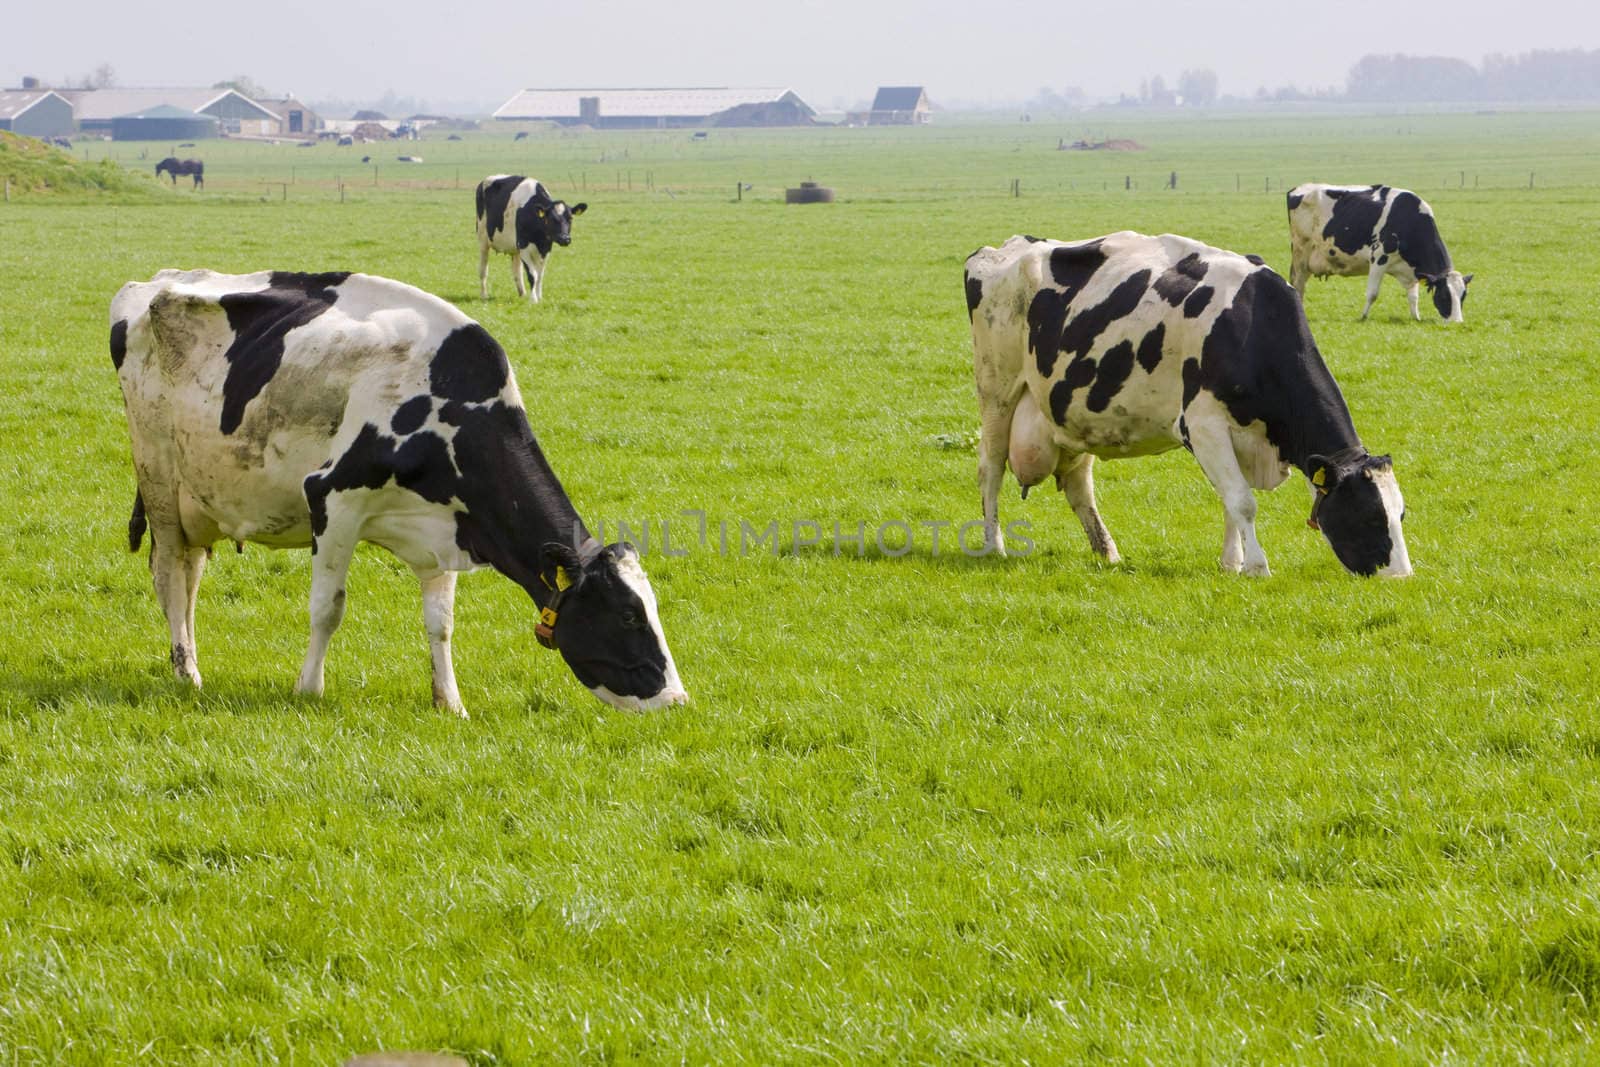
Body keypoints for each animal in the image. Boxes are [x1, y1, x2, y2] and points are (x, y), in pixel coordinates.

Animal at [111, 268, 688, 716]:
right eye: (628, 614)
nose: (677, 700)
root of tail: (156, 282)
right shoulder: (333, 499)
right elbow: (328, 607)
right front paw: (309, 689)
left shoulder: (446, 529)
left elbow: (441, 624)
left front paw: (449, 702)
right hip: (160, 480)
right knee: (170, 575)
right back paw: (187, 674)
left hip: (200, 499)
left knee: (189, 577)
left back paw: (188, 662)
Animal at [473, 173, 588, 302]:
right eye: (552, 219)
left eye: (570, 218)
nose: (565, 239)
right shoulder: (524, 247)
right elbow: (533, 275)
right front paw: (533, 300)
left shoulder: (545, 249)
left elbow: (540, 275)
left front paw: (539, 297)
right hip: (483, 240)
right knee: (483, 269)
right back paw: (484, 295)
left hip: (515, 247)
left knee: (517, 271)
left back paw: (522, 294)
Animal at [960, 230, 1414, 579]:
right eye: (1369, 515)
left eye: (1401, 515)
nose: (1402, 577)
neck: (1249, 323)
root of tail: (1005, 247)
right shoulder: (1203, 424)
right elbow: (1242, 500)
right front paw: (1257, 567)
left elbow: (1232, 499)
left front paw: (1232, 564)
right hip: (997, 392)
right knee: (990, 470)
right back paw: (995, 545)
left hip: (1070, 413)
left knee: (1078, 486)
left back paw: (1107, 551)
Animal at [1286, 182, 1472, 321]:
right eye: (1444, 296)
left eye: (1463, 296)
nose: (1457, 322)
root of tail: (1299, 188)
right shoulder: (1379, 257)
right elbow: (1372, 293)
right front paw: (1363, 317)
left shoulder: (1411, 271)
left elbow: (1413, 297)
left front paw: (1416, 317)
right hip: (1301, 253)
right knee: (1298, 285)